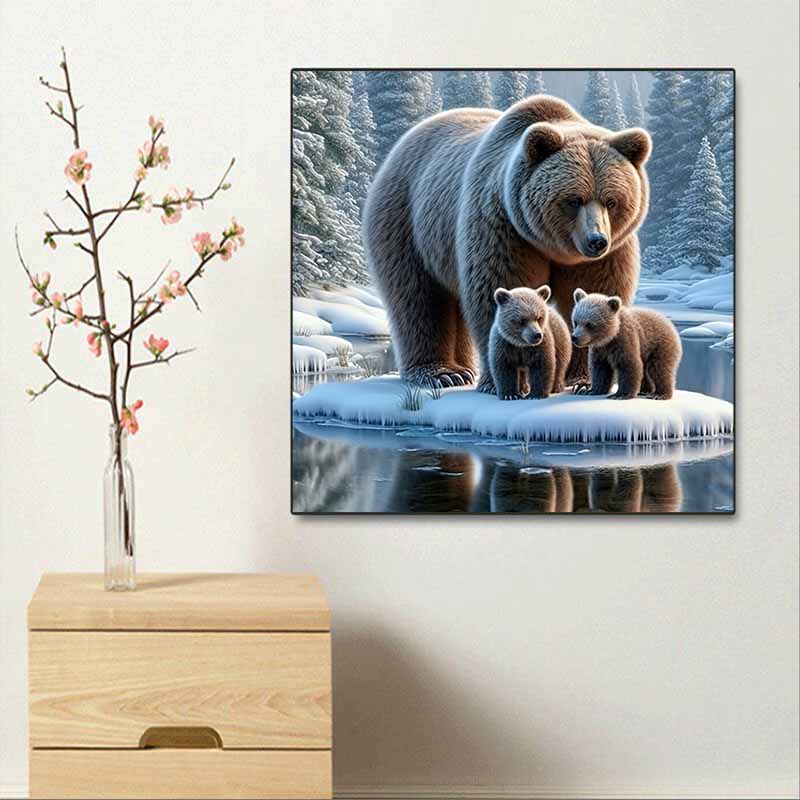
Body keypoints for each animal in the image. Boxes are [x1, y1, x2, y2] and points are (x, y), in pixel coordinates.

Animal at [362, 94, 651, 392]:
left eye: (612, 201)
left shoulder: (607, 254)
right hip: (407, 221)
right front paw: (507, 381)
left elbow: (594, 291)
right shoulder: (502, 228)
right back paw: (441, 373)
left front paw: (581, 380)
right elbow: (500, 291)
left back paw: (464, 370)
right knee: (419, 298)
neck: (552, 246)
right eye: (573, 200)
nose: (596, 241)